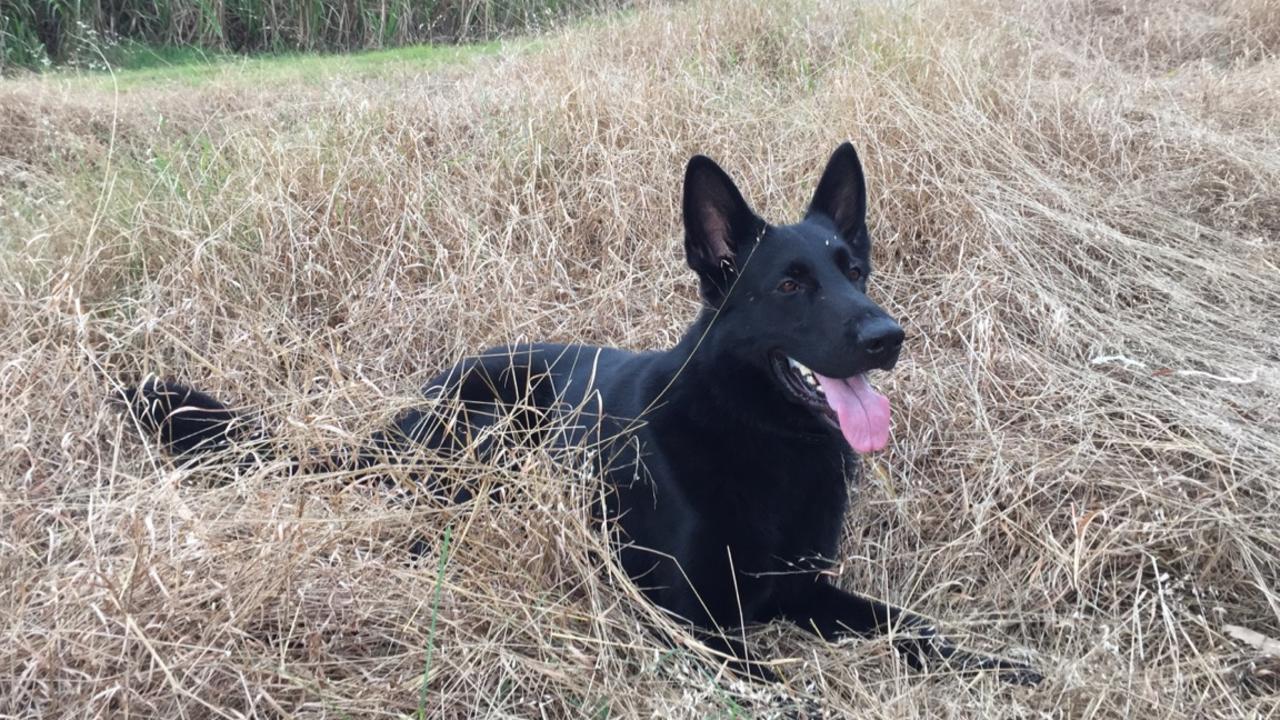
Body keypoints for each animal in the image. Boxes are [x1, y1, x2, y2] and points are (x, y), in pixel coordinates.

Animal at [120, 141, 1039, 681]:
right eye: (790, 285)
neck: (763, 440)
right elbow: (771, 683)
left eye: (855, 269)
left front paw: (1004, 663)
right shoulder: (686, 619)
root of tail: (398, 414)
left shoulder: (805, 590)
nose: (889, 337)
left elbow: (914, 627)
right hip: (487, 432)